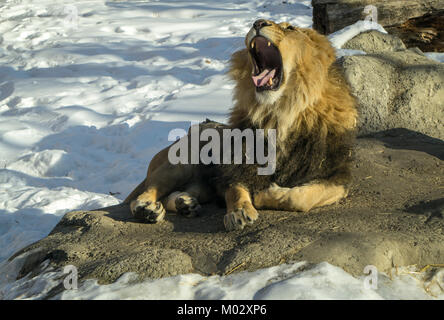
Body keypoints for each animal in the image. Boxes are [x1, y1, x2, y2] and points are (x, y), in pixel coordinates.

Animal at [123, 19, 360, 230]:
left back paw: (185, 204)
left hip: (200, 186)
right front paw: (240, 212)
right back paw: (146, 208)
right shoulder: (239, 165)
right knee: (149, 190)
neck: (280, 114)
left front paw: (267, 194)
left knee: (177, 195)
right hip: (180, 162)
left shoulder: (336, 175)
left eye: (290, 28)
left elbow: (303, 197)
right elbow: (236, 190)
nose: (258, 22)